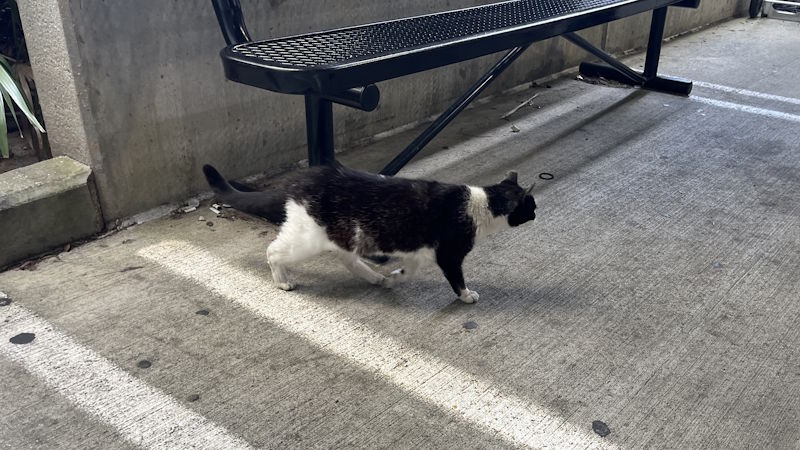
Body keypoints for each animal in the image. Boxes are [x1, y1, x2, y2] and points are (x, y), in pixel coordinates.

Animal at [203, 162, 536, 302]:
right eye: (531, 205)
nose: (536, 213)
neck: (479, 204)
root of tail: (300, 179)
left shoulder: (417, 252)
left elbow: (409, 271)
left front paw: (395, 278)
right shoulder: (449, 254)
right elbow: (457, 279)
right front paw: (467, 296)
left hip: (346, 235)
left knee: (347, 259)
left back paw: (376, 277)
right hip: (308, 238)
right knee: (273, 251)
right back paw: (282, 280)